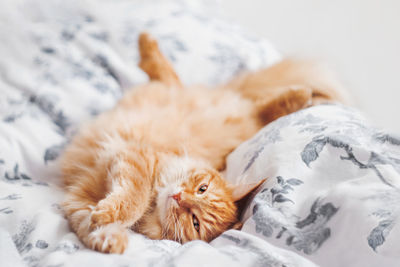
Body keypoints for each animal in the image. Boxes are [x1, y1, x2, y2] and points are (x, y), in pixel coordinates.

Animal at [60, 32, 346, 254]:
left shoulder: (80, 199)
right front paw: (111, 216)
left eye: (195, 221)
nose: (179, 198)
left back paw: (302, 96)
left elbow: (92, 222)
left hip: (240, 118)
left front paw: (109, 237)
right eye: (202, 189)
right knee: (171, 75)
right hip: (194, 97)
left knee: (256, 107)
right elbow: (133, 199)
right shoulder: (135, 159)